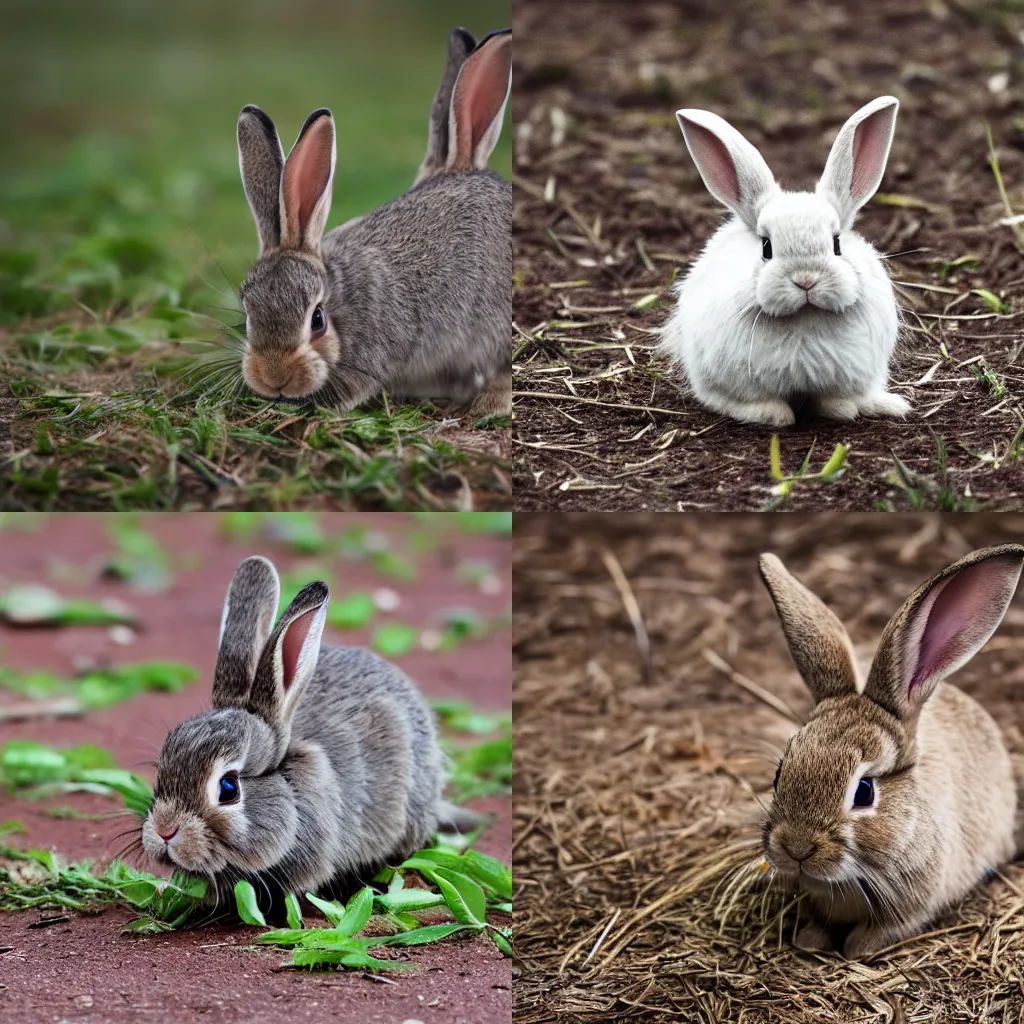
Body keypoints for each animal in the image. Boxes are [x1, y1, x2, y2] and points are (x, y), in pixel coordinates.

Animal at [663, 97, 913, 425]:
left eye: (836, 243)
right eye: (766, 247)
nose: (806, 280)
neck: (804, 318)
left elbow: (834, 401)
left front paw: (843, 409)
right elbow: (756, 403)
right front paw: (776, 415)